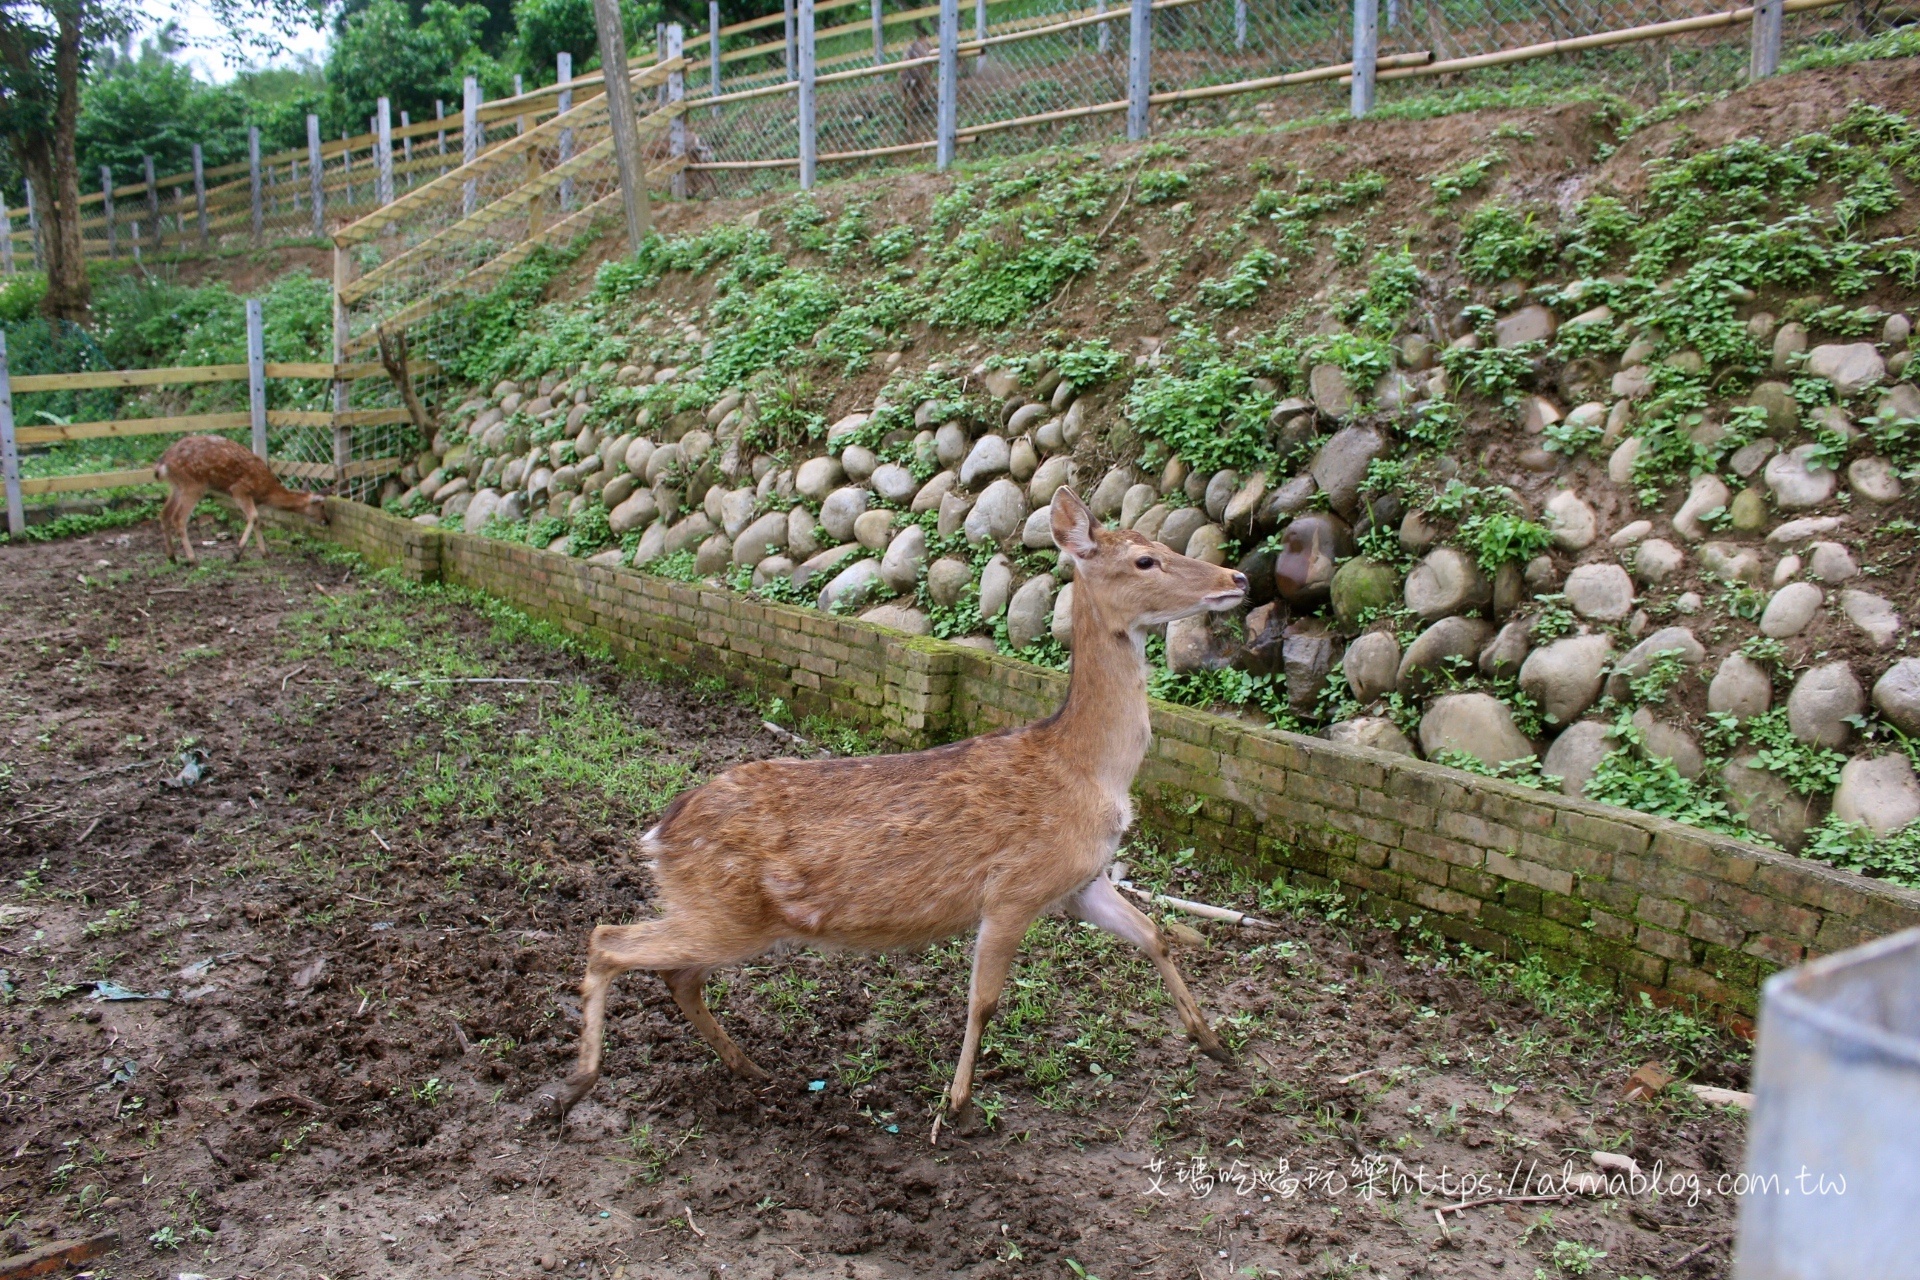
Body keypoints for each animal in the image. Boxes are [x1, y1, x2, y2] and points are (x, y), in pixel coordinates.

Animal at [156, 433, 326, 564]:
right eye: (321, 506)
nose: (327, 521)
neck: (266, 491)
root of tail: (163, 464)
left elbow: (257, 520)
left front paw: (265, 553)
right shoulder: (239, 490)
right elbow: (254, 516)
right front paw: (237, 553)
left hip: (177, 486)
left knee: (164, 513)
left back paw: (172, 557)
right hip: (193, 484)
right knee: (178, 518)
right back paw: (193, 559)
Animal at [541, 487, 1244, 1128]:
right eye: (1146, 560)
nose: (1236, 578)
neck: (1088, 771)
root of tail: (660, 832)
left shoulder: (1080, 882)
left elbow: (1155, 936)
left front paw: (1214, 1044)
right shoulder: (1014, 889)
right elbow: (983, 1002)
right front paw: (953, 1110)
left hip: (721, 917)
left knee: (677, 976)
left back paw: (751, 1068)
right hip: (723, 913)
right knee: (608, 940)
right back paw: (575, 1085)